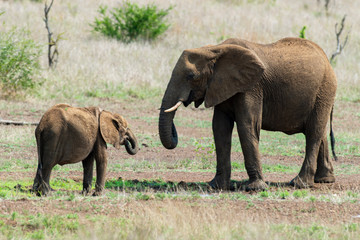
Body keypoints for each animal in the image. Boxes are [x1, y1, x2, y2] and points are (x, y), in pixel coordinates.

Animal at [158, 37, 338, 190]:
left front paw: (255, 188)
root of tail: (327, 60)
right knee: (320, 132)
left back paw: (299, 184)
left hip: (324, 91)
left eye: (191, 76)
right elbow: (219, 128)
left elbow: (247, 125)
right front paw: (216, 186)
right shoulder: (222, 86)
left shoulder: (252, 87)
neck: (215, 49)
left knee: (313, 133)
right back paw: (324, 180)